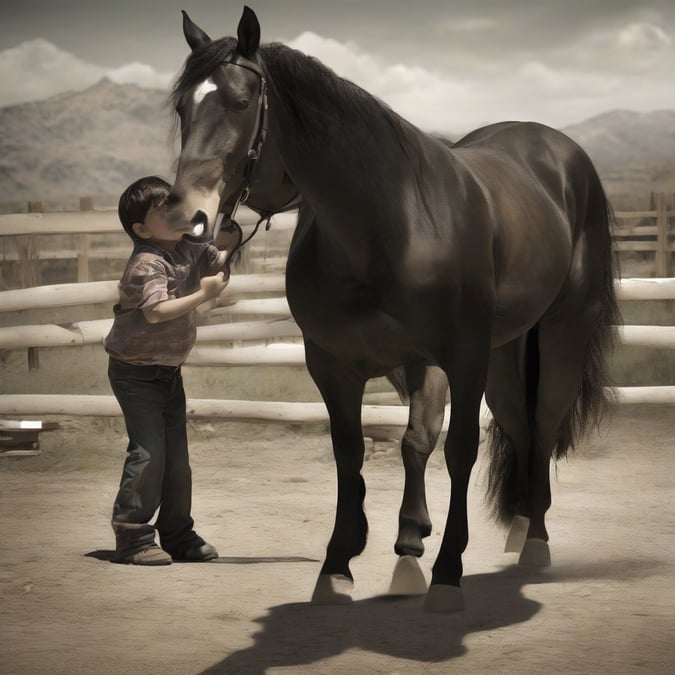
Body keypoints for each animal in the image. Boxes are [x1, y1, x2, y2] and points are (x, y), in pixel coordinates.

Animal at [165, 6, 620, 612]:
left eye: (240, 102)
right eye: (182, 107)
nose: (188, 217)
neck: (389, 224)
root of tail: (557, 151)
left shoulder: (462, 357)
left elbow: (458, 449)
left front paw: (446, 573)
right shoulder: (334, 365)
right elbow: (355, 452)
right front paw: (341, 564)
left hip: (558, 333)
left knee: (543, 423)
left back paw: (535, 542)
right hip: (502, 354)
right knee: (514, 427)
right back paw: (506, 529)